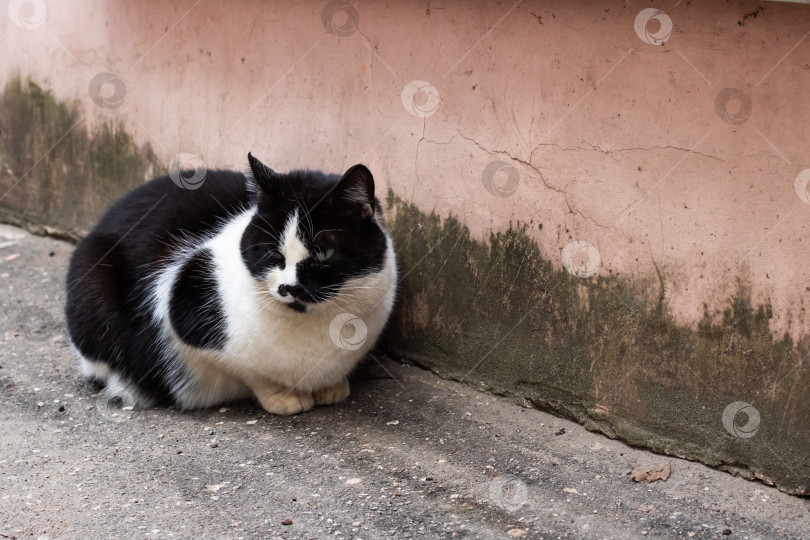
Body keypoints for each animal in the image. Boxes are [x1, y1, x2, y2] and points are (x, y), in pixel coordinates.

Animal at [66, 154, 398, 416]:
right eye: (272, 253)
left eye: (324, 253)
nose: (289, 288)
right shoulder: (184, 302)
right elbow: (251, 371)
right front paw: (282, 397)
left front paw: (333, 387)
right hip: (92, 280)